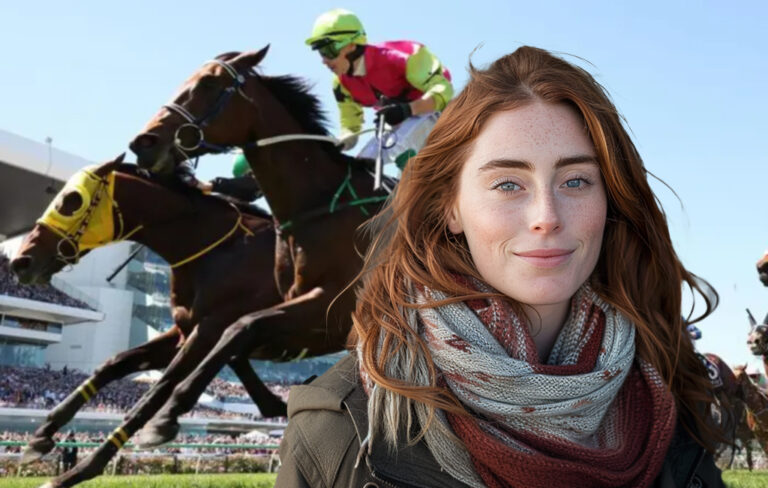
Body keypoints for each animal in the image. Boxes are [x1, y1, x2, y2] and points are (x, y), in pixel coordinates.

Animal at [9, 156, 328, 488]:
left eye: (72, 201)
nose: (21, 262)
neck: (216, 250)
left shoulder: (210, 328)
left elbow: (156, 392)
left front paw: (78, 471)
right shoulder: (185, 331)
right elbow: (113, 365)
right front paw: (40, 437)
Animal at [130, 48, 390, 446]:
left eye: (209, 82)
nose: (144, 141)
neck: (321, 205)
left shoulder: (335, 308)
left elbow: (241, 326)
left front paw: (164, 415)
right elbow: (237, 334)